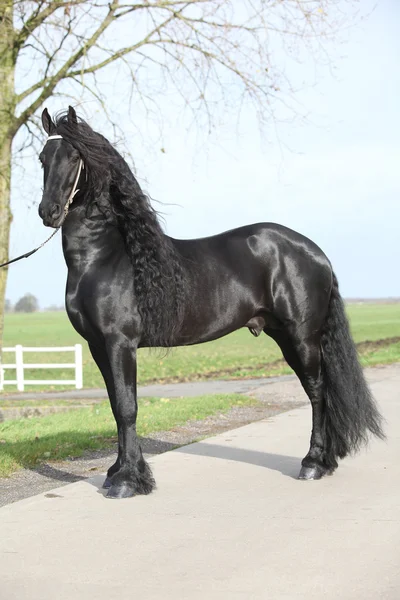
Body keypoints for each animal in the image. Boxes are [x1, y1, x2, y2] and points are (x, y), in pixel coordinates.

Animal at [38, 106, 384, 496]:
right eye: (43, 158)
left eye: (75, 157)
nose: (48, 212)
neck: (105, 257)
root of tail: (316, 252)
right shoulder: (98, 346)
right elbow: (115, 405)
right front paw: (119, 472)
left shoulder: (119, 343)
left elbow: (128, 407)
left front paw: (127, 481)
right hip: (283, 335)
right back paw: (323, 462)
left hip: (303, 337)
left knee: (317, 392)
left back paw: (313, 463)